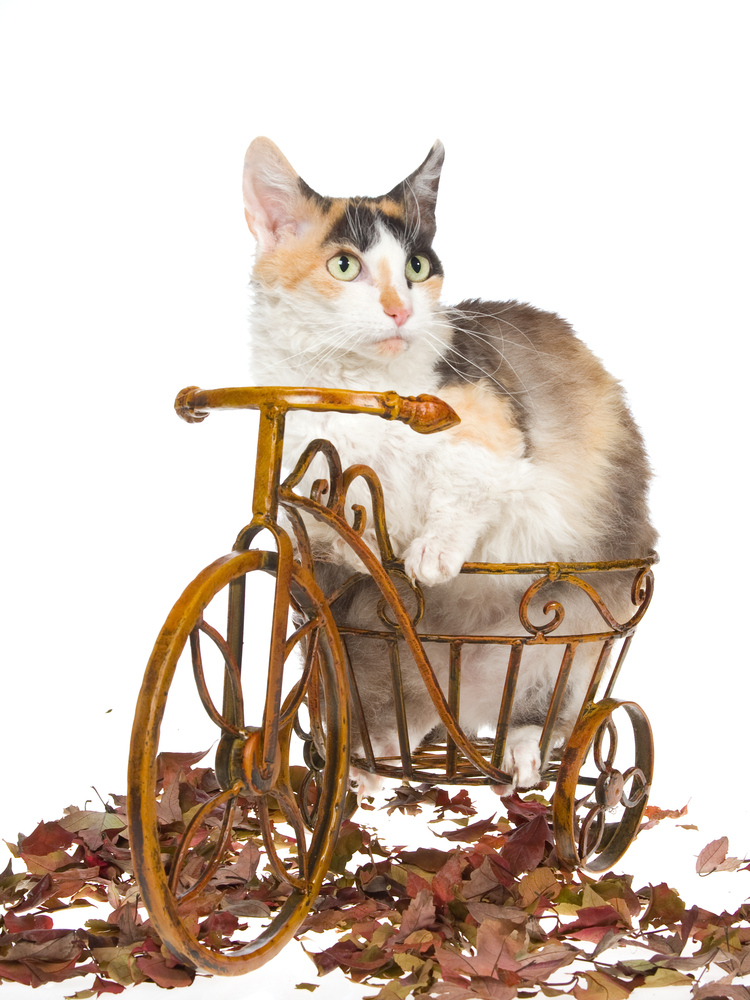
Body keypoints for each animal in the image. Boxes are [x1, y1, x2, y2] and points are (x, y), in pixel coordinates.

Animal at [242, 137, 656, 792]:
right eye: (345, 267)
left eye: (416, 267)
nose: (399, 310)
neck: (353, 386)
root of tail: (472, 711)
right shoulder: (310, 475)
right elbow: (329, 527)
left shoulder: (495, 426)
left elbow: (468, 481)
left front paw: (432, 552)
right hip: (385, 652)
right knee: (397, 711)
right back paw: (370, 764)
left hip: (576, 631)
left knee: (549, 716)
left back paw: (521, 755)